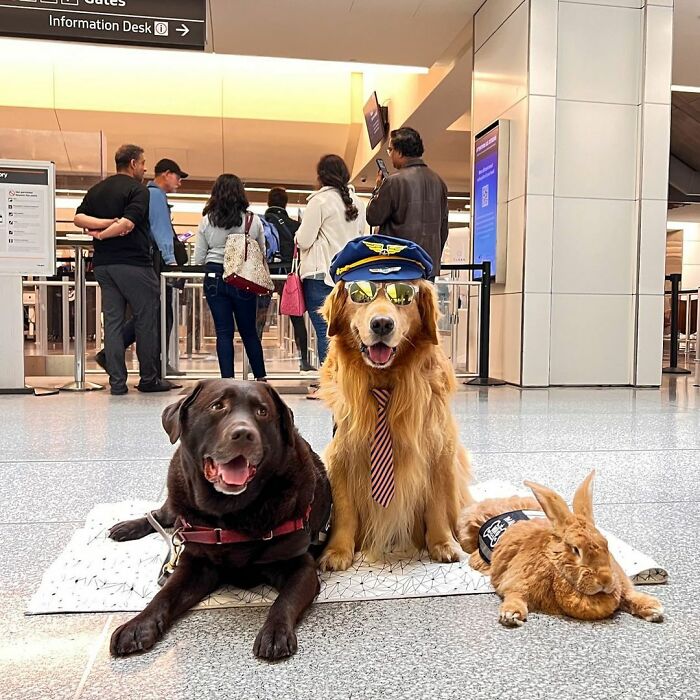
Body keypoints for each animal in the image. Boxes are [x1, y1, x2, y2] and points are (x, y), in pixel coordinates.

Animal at [456, 474, 664, 628]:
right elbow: (515, 596)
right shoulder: (516, 581)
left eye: (606, 544)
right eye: (575, 550)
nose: (605, 580)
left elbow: (629, 594)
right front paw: (511, 615)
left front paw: (654, 609)